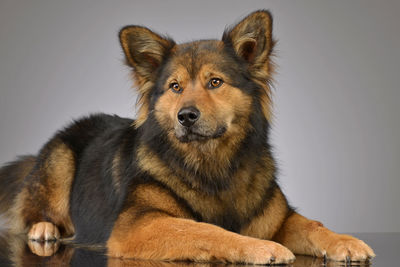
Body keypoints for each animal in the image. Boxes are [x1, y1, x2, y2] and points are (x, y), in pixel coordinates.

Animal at [0, 10, 376, 266]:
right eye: (175, 87)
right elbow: (202, 229)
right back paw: (44, 229)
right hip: (60, 160)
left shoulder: (278, 217)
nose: (186, 116)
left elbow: (313, 224)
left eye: (215, 82)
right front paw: (260, 247)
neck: (212, 164)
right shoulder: (136, 226)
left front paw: (345, 241)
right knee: (34, 210)